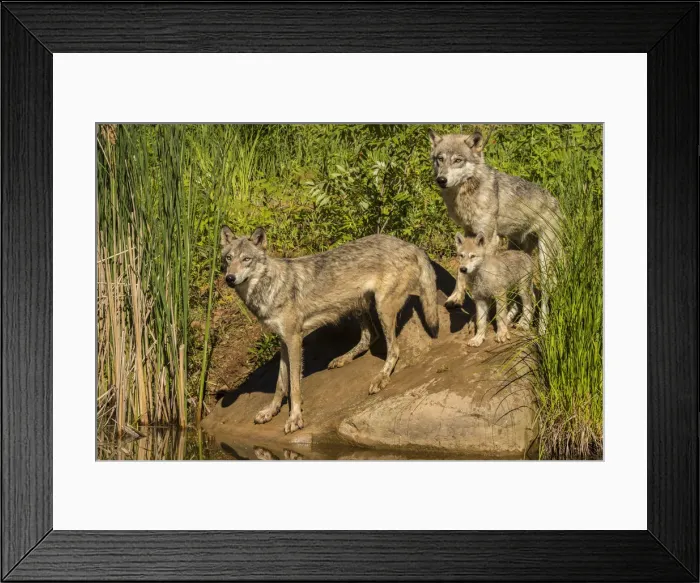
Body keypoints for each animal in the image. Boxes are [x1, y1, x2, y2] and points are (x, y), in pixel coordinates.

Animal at [220, 227, 439, 434]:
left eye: (246, 259)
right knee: (370, 337)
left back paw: (381, 378)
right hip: (358, 305)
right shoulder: (283, 341)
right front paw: (270, 411)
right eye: (228, 258)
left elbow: (294, 386)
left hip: (382, 308)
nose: (230, 278)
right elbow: (280, 383)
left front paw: (294, 418)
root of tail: (411, 245)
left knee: (394, 350)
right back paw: (343, 358)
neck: (271, 288)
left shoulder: (294, 340)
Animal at [429, 129, 560, 333]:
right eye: (440, 159)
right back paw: (517, 320)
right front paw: (456, 298)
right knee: (525, 294)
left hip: (544, 258)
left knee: (543, 294)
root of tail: (556, 202)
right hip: (518, 253)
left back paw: (541, 329)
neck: (467, 194)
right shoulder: (469, 233)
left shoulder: (490, 238)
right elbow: (461, 272)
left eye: (458, 160)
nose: (441, 180)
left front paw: (478, 318)